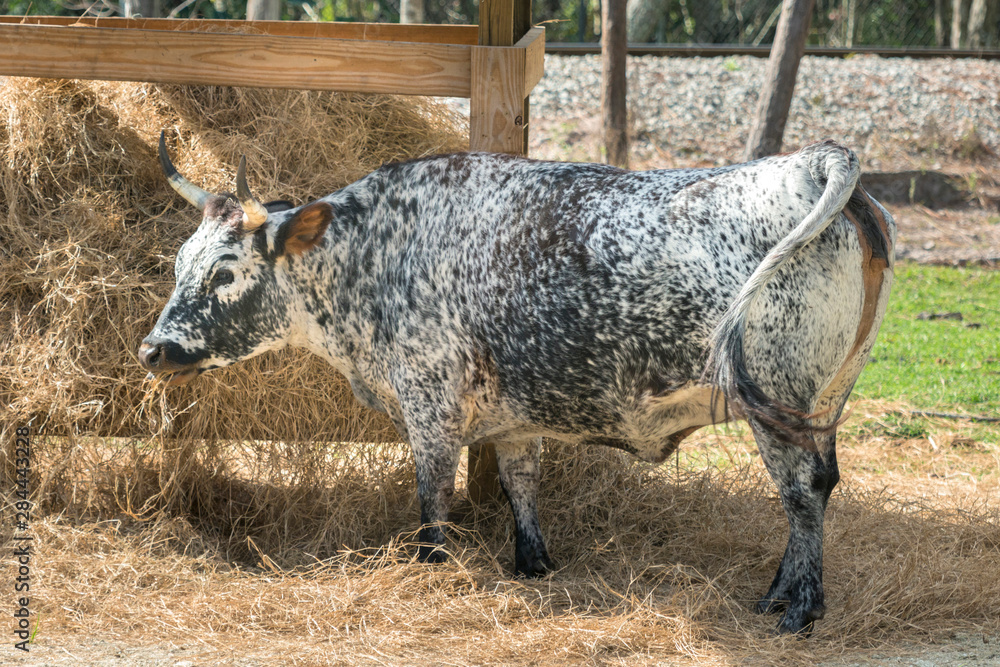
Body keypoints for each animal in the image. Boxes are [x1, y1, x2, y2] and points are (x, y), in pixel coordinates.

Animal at [140, 133, 894, 634]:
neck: (380, 254)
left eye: (224, 272)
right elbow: (519, 483)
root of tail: (812, 161)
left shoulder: (430, 404)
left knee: (801, 492)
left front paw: (433, 568)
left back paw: (799, 606)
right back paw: (779, 591)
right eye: (179, 263)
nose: (153, 349)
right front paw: (533, 562)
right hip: (825, 400)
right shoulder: (515, 416)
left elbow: (433, 496)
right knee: (821, 483)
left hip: (778, 399)